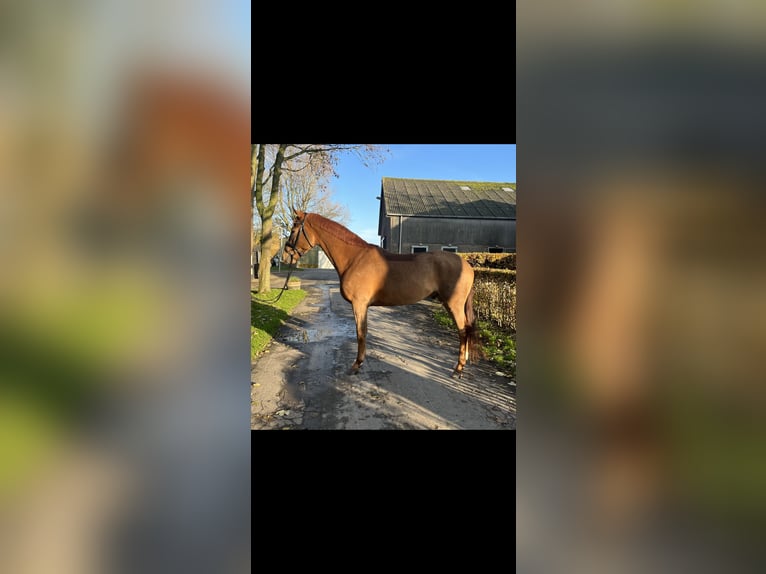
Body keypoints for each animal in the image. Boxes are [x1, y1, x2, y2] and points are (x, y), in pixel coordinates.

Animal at [284, 212, 476, 378]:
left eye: (293, 230)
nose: (286, 255)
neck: (355, 258)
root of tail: (468, 265)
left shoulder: (359, 304)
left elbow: (361, 333)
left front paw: (356, 365)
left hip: (454, 305)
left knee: (463, 331)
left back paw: (458, 369)